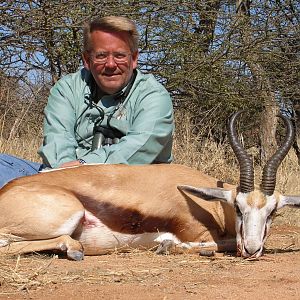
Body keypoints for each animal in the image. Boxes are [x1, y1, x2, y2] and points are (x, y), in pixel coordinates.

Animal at [0, 111, 298, 258]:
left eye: (272, 212)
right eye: (237, 207)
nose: (252, 249)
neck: (210, 206)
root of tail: (7, 190)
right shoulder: (197, 233)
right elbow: (217, 244)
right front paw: (166, 246)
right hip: (70, 214)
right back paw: (74, 250)